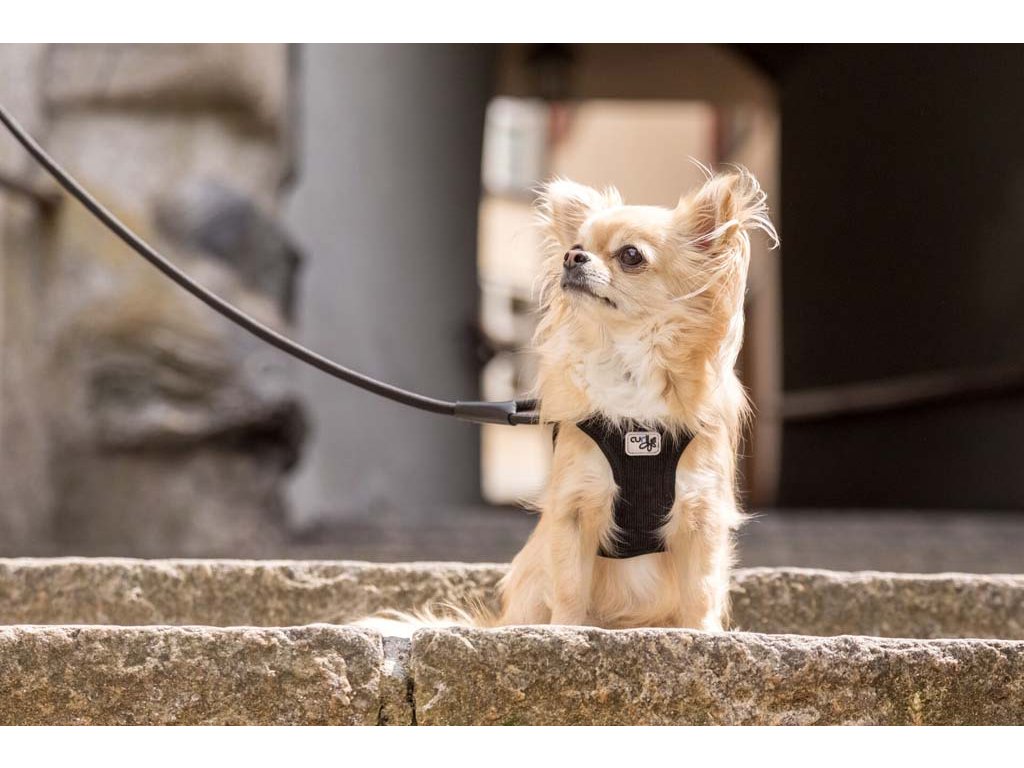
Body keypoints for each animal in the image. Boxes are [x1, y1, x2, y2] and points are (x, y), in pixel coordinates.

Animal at [360, 167, 776, 634]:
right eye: (576, 247)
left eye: (631, 255)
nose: (572, 258)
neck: (630, 362)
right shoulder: (573, 507)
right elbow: (571, 585)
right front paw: (566, 631)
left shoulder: (701, 514)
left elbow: (700, 593)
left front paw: (702, 636)